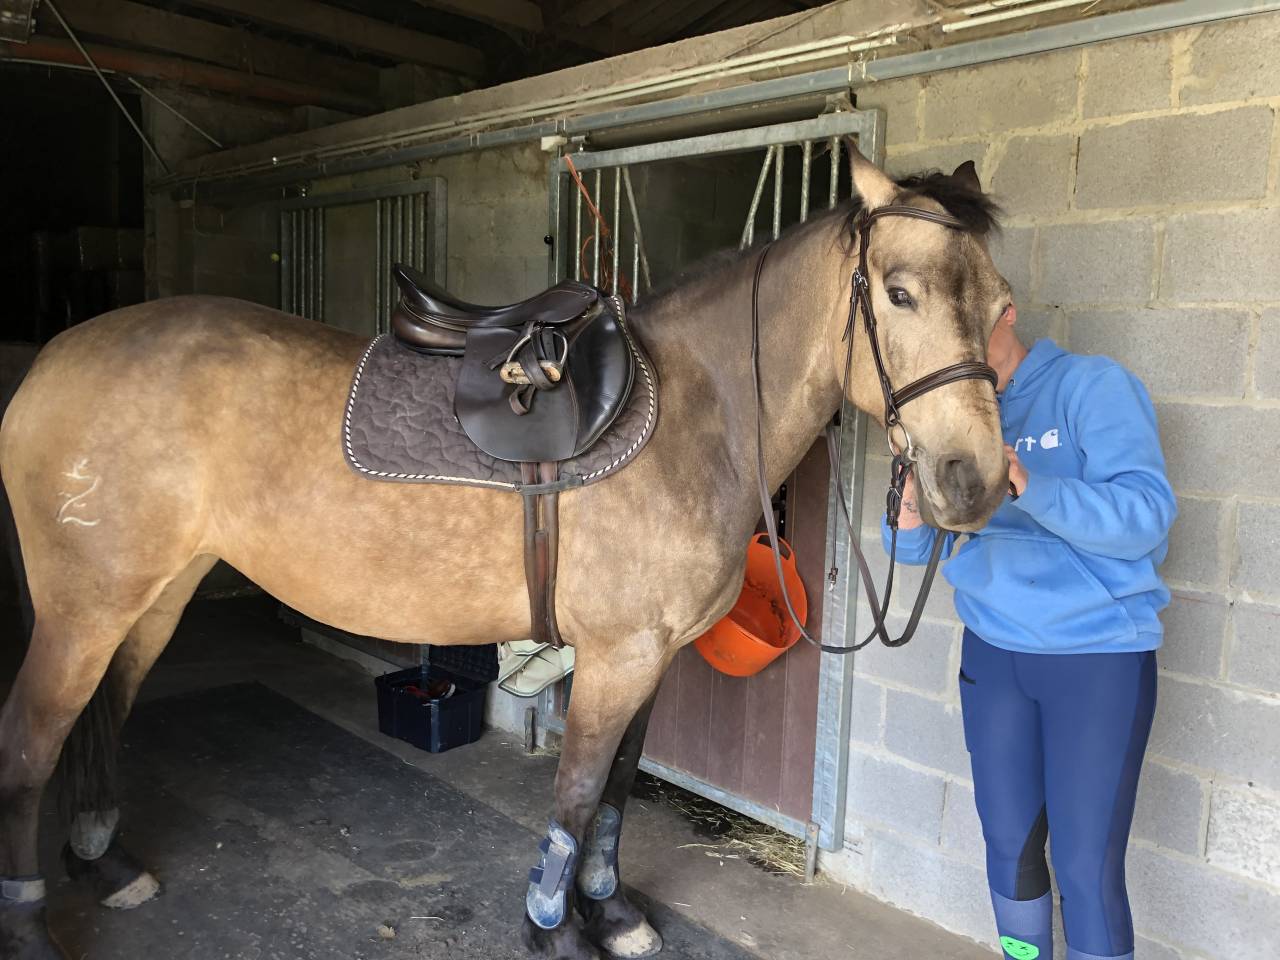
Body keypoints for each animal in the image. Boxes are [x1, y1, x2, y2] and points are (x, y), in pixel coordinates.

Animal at [0, 149, 1012, 959]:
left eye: (1001, 305)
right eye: (900, 293)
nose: (974, 483)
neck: (700, 414)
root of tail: (52, 359)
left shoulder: (650, 659)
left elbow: (617, 792)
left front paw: (612, 915)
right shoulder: (616, 658)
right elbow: (576, 793)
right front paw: (551, 929)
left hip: (153, 597)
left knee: (98, 718)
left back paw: (107, 864)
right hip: (85, 609)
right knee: (31, 738)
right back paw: (33, 921)